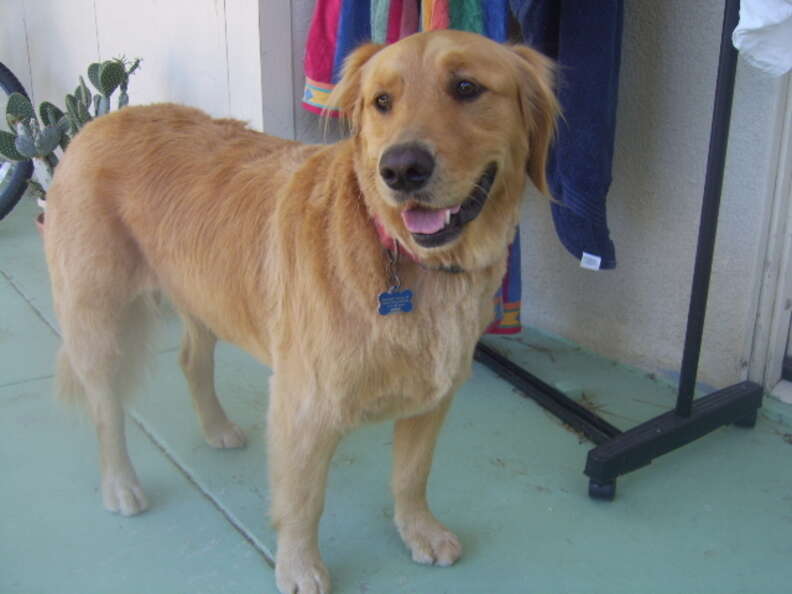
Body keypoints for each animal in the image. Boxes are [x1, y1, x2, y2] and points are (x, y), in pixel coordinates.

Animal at [43, 31, 556, 592]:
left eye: (466, 87)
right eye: (382, 101)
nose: (400, 169)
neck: (401, 254)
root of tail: (98, 122)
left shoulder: (433, 398)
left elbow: (412, 475)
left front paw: (417, 529)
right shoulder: (304, 405)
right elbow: (304, 501)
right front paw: (299, 565)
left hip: (203, 293)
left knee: (192, 360)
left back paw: (216, 427)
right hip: (98, 320)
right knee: (106, 409)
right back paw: (120, 484)